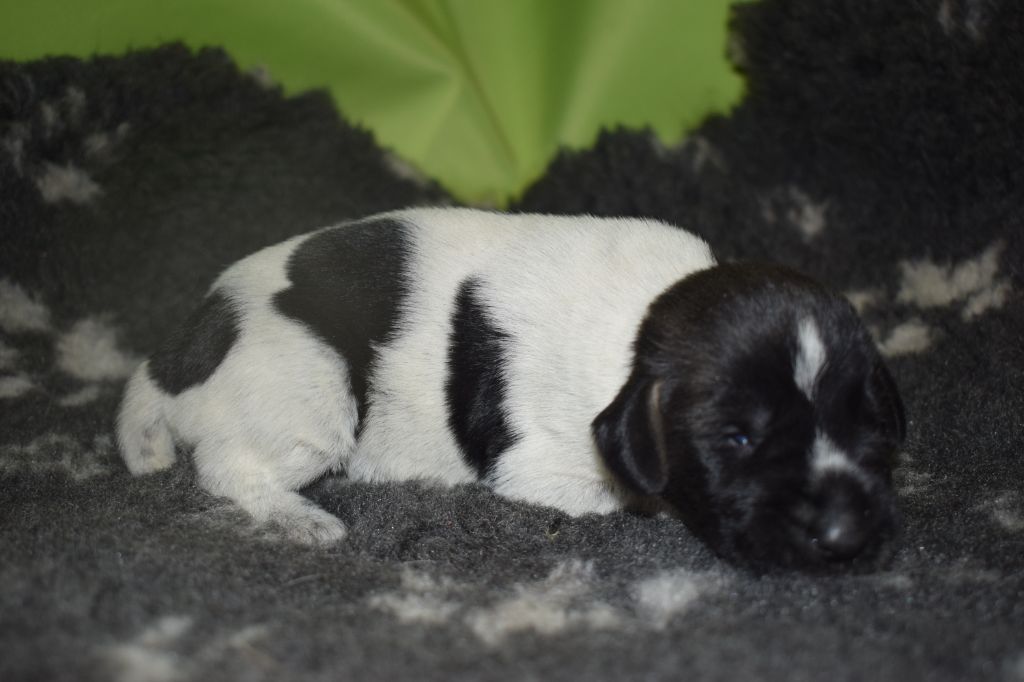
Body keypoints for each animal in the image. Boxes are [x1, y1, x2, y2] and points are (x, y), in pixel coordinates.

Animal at [117, 208, 905, 570]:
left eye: (860, 424)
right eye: (736, 438)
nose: (846, 535)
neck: (647, 318)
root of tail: (181, 350)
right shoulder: (539, 465)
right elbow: (628, 495)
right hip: (313, 392)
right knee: (227, 467)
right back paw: (298, 516)